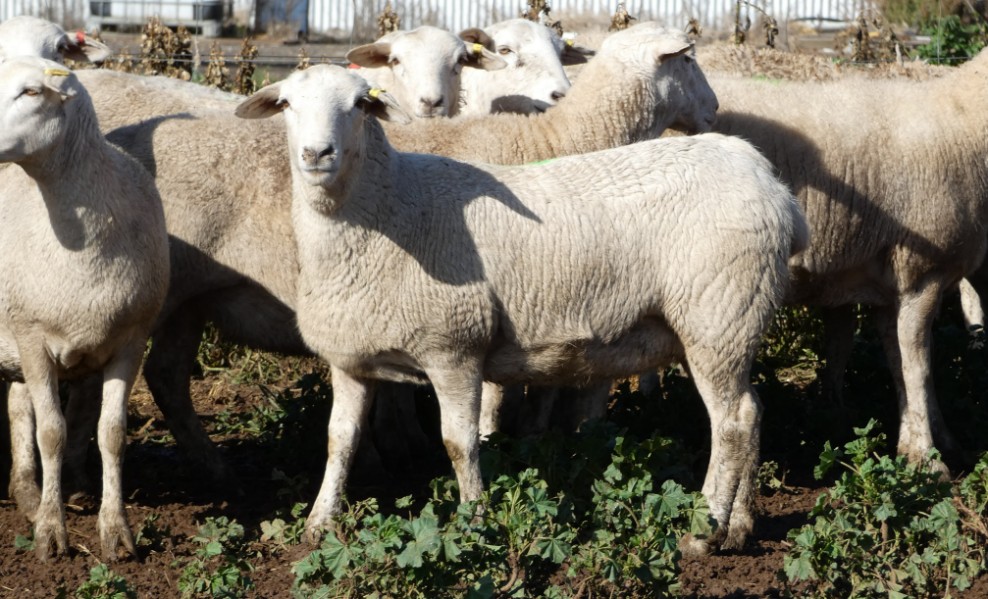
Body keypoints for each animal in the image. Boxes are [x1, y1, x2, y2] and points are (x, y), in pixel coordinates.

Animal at [0, 56, 169, 560]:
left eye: (32, 92)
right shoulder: (33, 338)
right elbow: (51, 433)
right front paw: (51, 532)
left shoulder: (131, 341)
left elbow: (111, 434)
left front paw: (116, 530)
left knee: (18, 406)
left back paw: (27, 492)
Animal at [234, 63, 807, 552]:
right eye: (286, 104)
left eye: (358, 104)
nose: (317, 154)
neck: (388, 208)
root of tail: (768, 180)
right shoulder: (349, 359)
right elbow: (340, 441)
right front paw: (319, 522)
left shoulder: (454, 347)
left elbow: (459, 442)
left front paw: (474, 522)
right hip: (731, 321)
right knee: (752, 411)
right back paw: (740, 526)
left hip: (718, 315)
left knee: (730, 423)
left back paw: (705, 531)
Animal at [705, 51, 988, 470]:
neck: (964, 116)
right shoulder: (922, 274)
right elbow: (919, 365)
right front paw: (929, 458)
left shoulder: (890, 285)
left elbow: (899, 363)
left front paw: (925, 444)